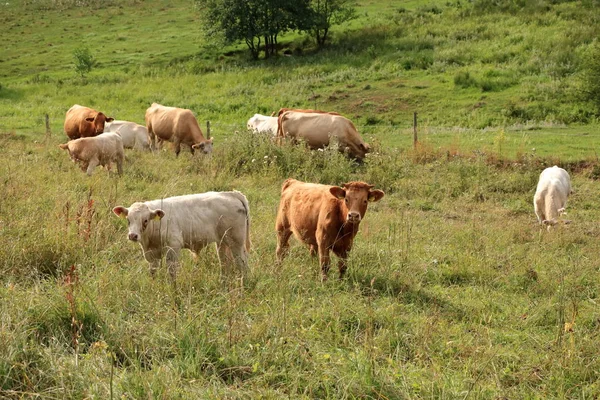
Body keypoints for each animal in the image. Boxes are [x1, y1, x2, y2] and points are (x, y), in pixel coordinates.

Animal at [112, 191, 251, 280]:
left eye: (145, 220)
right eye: (128, 220)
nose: (133, 235)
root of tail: (230, 193)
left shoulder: (173, 246)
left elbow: (172, 271)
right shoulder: (151, 254)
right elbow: (153, 271)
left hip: (236, 242)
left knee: (242, 262)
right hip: (222, 242)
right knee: (225, 262)